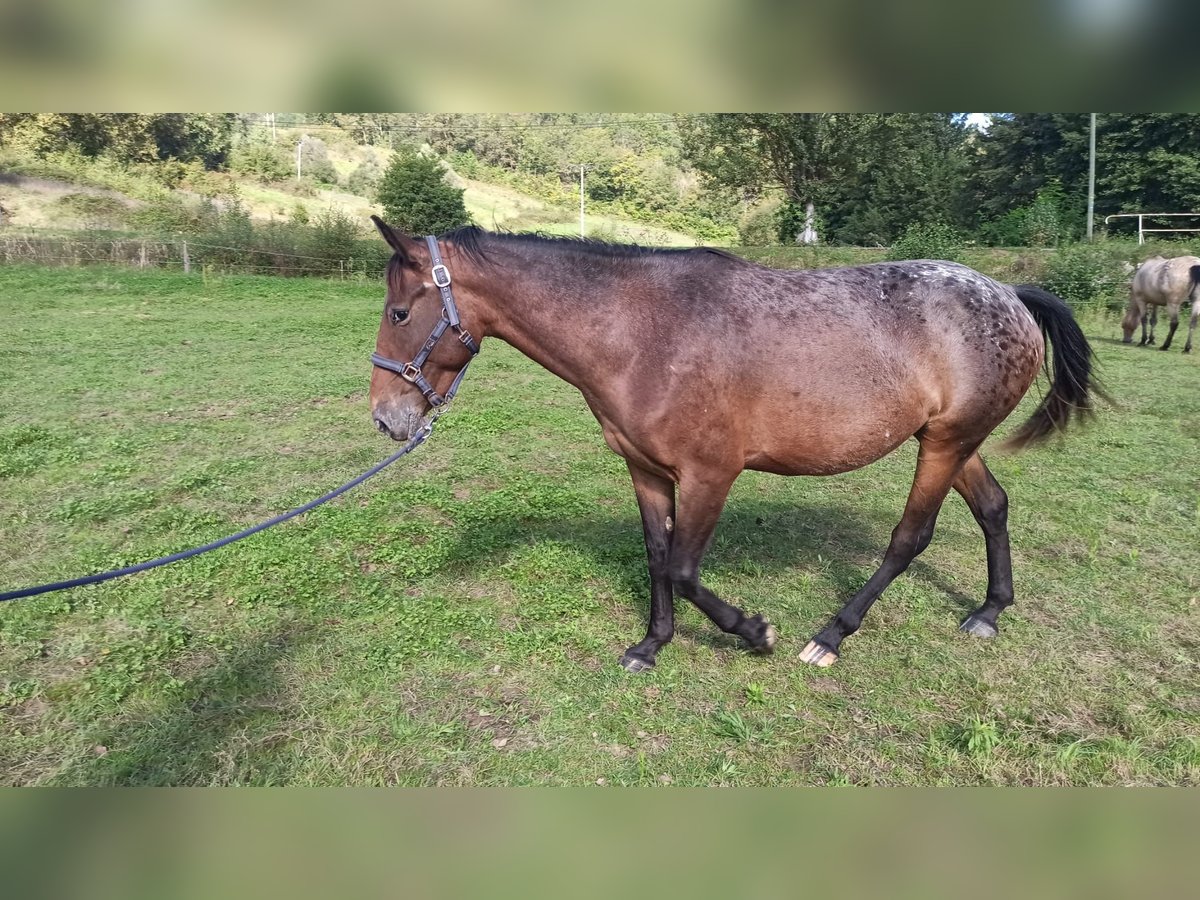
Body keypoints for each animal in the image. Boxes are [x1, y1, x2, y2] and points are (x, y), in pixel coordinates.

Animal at [369, 218, 1099, 672]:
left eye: (400, 313)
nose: (386, 418)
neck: (643, 332)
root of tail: (1008, 293)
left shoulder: (711, 475)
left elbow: (686, 571)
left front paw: (754, 632)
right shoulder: (646, 471)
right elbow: (658, 557)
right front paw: (651, 645)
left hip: (944, 445)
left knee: (909, 538)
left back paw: (830, 636)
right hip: (954, 439)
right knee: (994, 507)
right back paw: (990, 611)